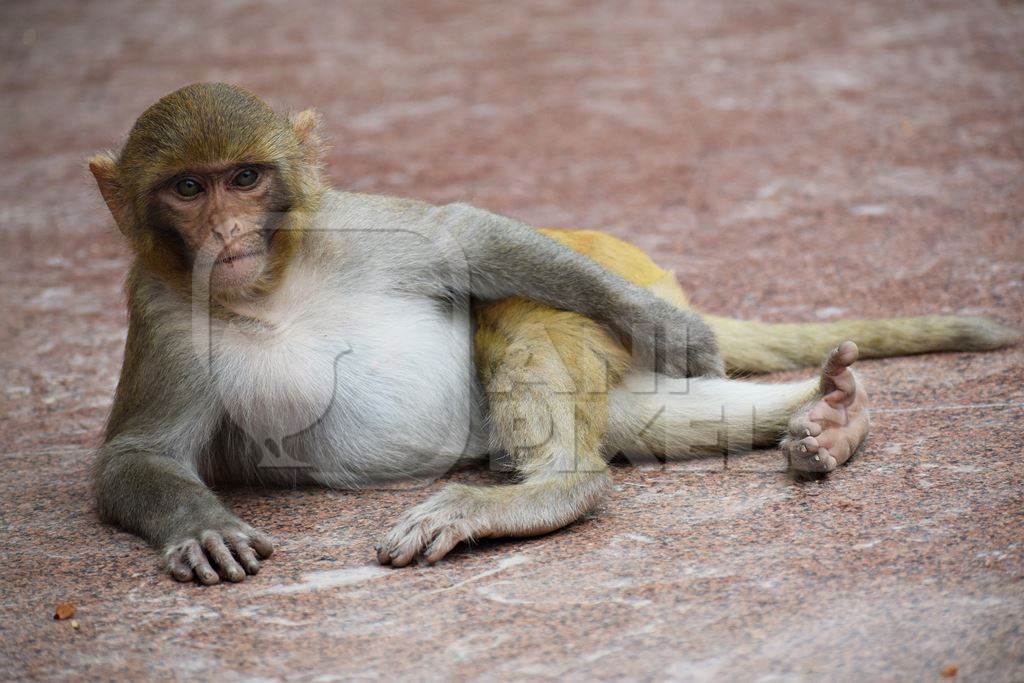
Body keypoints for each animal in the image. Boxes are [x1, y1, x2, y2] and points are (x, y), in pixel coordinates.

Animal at [88, 81, 1015, 581]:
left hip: (604, 267)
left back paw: (556, 484)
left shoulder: (350, 225)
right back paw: (829, 414)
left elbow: (465, 239)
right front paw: (201, 527)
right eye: (188, 189)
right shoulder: (161, 310)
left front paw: (670, 328)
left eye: (245, 179)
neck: (272, 285)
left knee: (514, 302)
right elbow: (139, 453)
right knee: (633, 415)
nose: (225, 233)